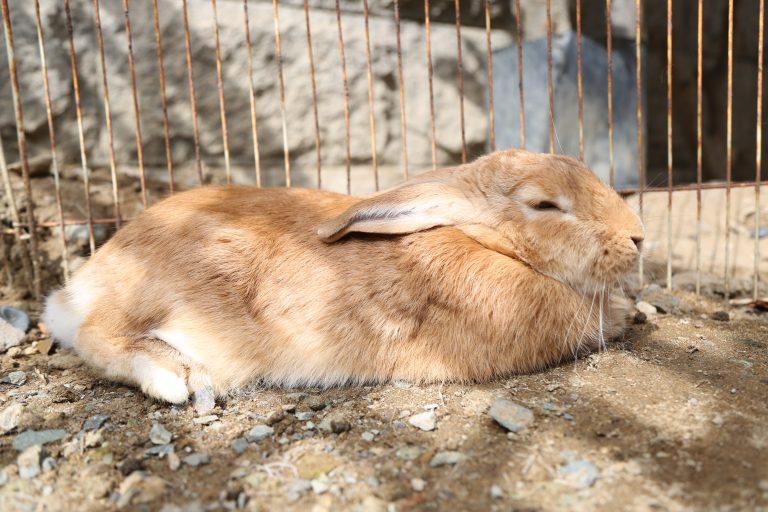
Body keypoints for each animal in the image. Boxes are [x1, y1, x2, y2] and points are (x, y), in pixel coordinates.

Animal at [42, 149, 640, 404]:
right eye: (544, 205)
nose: (637, 236)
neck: (483, 242)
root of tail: (74, 292)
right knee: (97, 335)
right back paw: (178, 378)